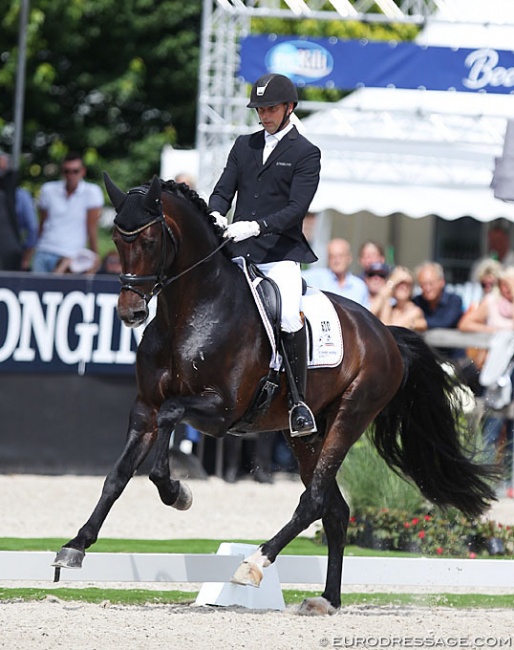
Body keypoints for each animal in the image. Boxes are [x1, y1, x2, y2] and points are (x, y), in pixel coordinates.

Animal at [53, 175, 496, 616]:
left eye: (148, 241)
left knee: (314, 501)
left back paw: (253, 563)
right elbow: (118, 475)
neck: (191, 312)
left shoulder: (221, 411)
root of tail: (384, 332)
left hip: (349, 416)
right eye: (116, 238)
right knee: (335, 509)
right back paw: (327, 599)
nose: (130, 313)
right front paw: (75, 547)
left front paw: (177, 493)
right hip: (304, 435)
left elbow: (170, 421)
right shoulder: (144, 408)